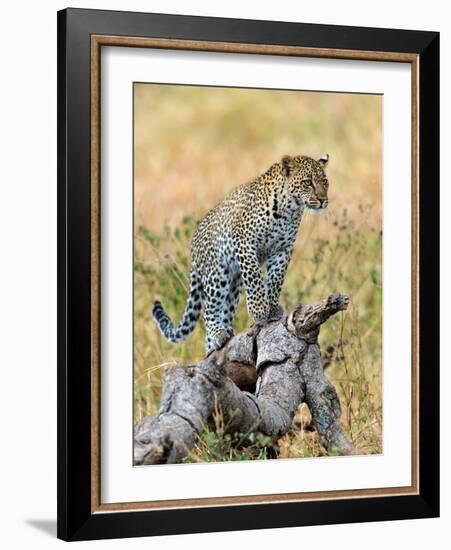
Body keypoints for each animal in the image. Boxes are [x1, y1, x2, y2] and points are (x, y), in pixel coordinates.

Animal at [154, 153, 330, 356]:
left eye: (325, 182)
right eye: (308, 182)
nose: (323, 200)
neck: (290, 210)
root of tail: (194, 244)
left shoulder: (282, 250)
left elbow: (276, 279)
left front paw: (273, 307)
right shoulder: (245, 244)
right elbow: (255, 279)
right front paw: (259, 311)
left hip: (234, 284)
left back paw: (215, 345)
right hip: (217, 274)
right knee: (209, 309)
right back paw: (218, 334)